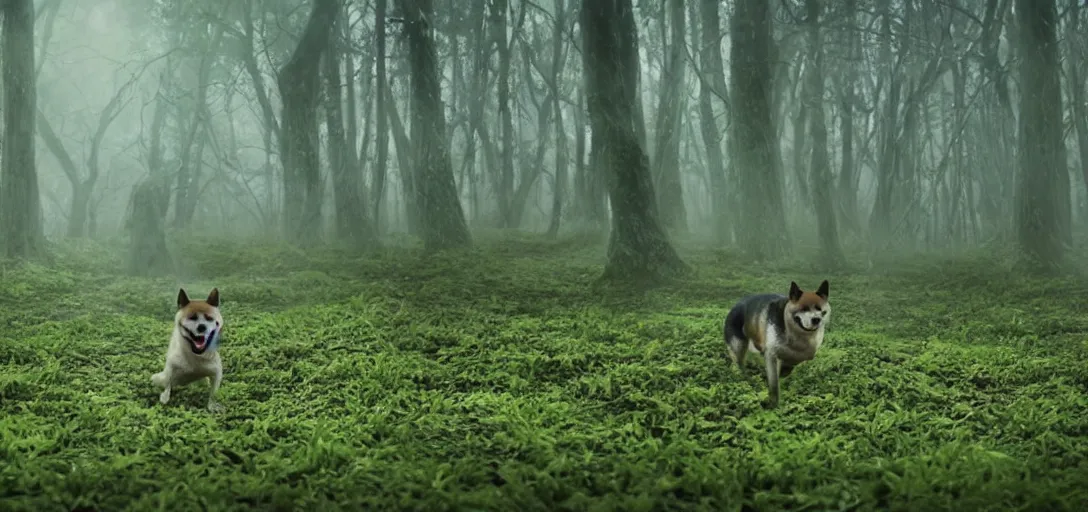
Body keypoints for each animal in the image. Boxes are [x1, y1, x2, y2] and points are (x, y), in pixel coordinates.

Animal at [726, 280, 826, 408]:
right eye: (803, 308)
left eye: (820, 309)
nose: (816, 320)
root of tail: (735, 306)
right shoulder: (771, 353)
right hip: (738, 345)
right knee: (739, 363)